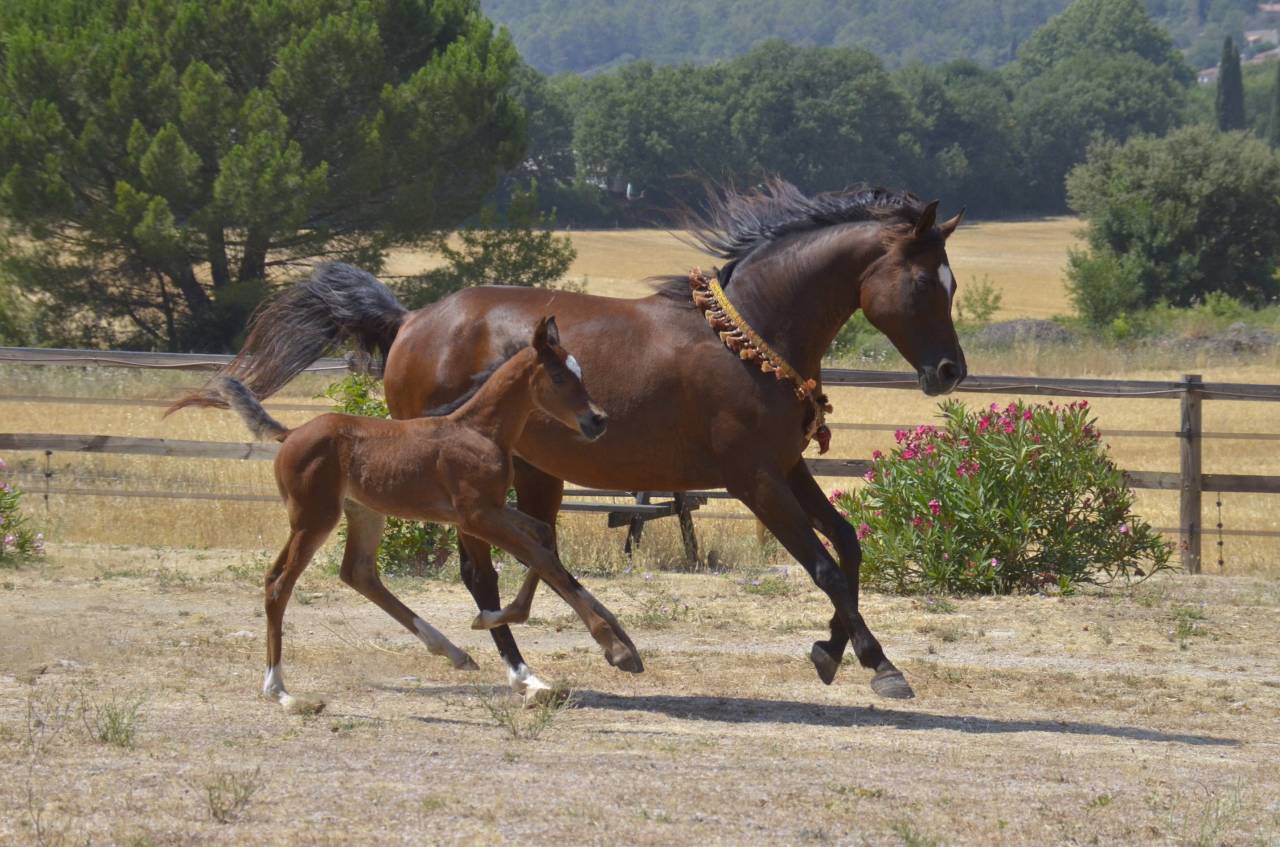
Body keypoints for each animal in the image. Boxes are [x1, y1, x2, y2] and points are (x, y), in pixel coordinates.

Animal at [209, 316, 638, 712]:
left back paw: (454, 652)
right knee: (279, 583)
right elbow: (542, 559)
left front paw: (493, 617)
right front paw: (615, 649)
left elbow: (545, 541)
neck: (480, 431)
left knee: (356, 573)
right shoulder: (476, 516)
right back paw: (280, 691)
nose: (597, 420)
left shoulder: (493, 510)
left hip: (362, 512)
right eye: (559, 375)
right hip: (314, 518)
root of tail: (290, 433)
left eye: (580, 372)